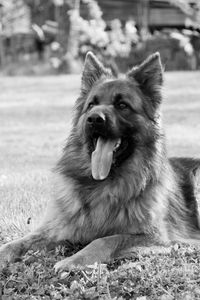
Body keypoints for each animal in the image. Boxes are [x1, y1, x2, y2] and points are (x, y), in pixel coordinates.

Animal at [0, 52, 200, 274]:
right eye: (91, 105)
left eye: (122, 105)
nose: (94, 119)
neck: (102, 185)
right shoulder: (59, 227)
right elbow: (16, 243)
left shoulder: (156, 237)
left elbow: (106, 239)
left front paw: (74, 260)